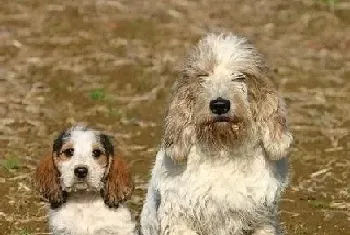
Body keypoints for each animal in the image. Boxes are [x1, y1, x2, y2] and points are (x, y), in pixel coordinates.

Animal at [139, 32, 292, 235]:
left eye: (240, 76)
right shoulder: (179, 220)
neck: (223, 149)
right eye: (203, 76)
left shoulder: (263, 222)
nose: (220, 105)